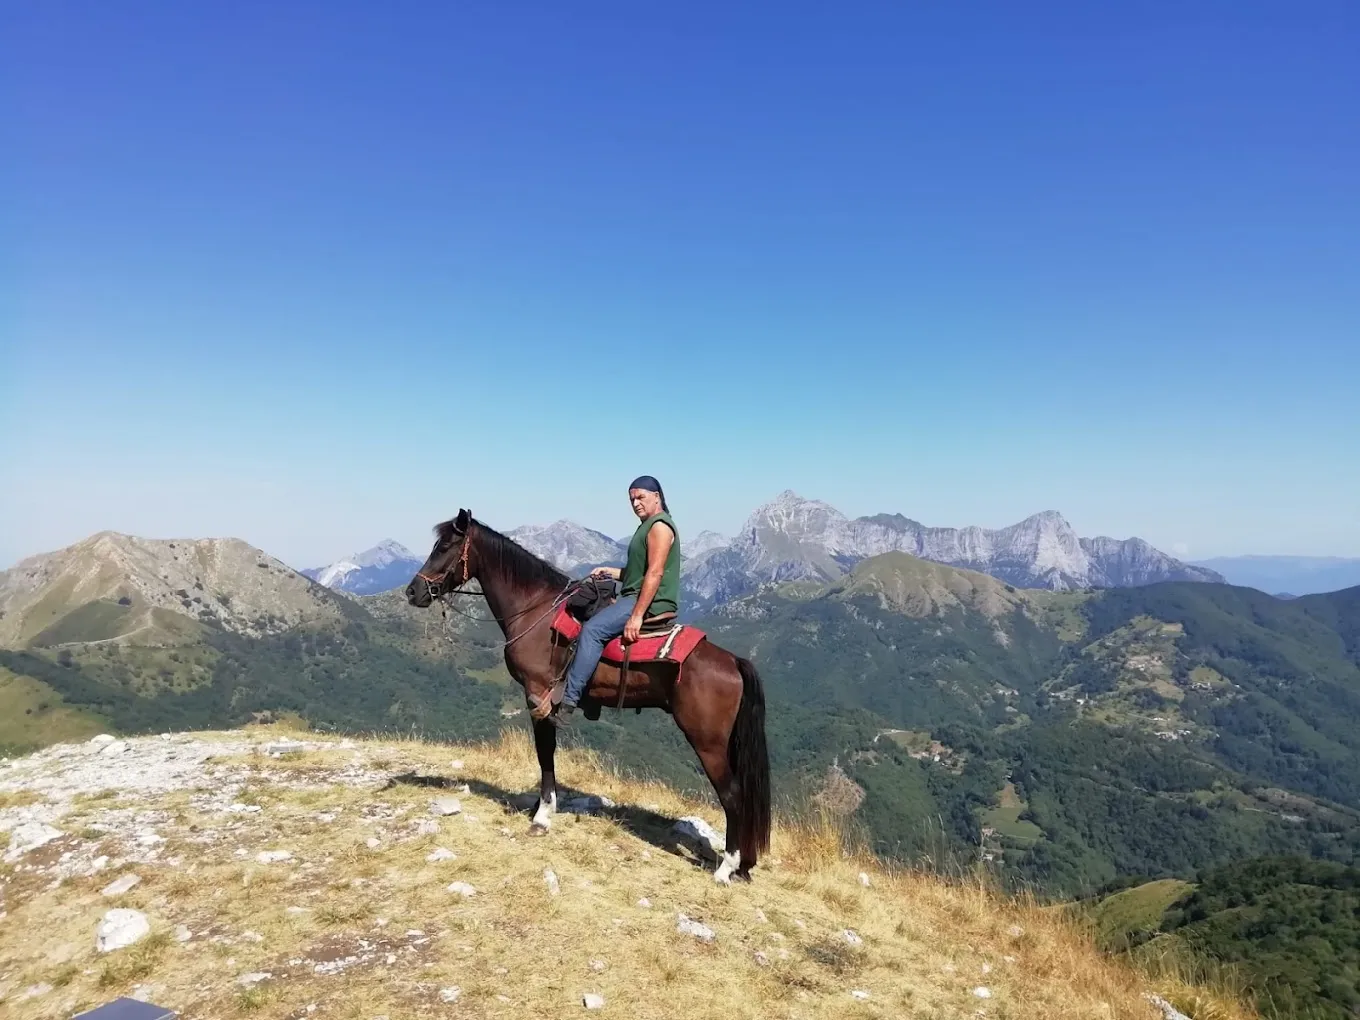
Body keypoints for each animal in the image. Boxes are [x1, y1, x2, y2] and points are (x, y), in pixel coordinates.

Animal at [405, 508, 771, 883]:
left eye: (444, 546)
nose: (413, 590)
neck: (535, 610)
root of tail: (733, 661)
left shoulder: (538, 696)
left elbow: (545, 753)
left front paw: (542, 816)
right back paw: (742, 865)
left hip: (707, 742)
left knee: (733, 796)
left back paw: (726, 868)